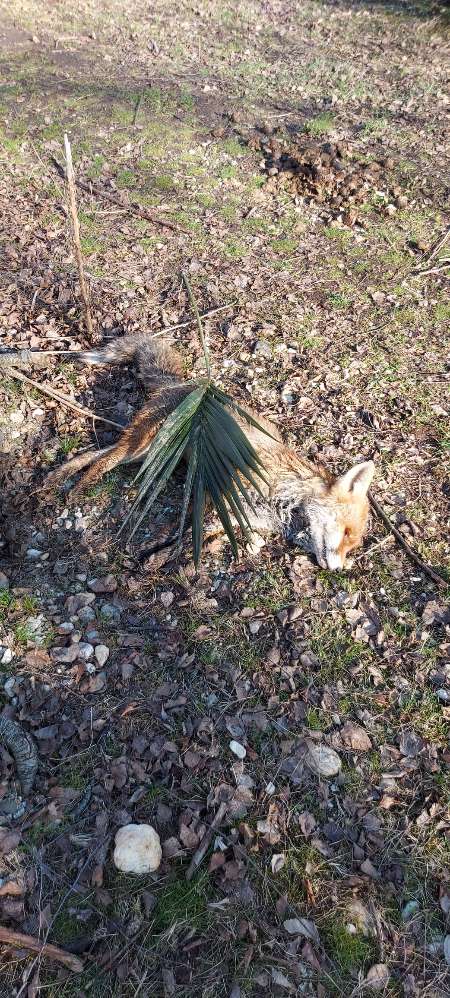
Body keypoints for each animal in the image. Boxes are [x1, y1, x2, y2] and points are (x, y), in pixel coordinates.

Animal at [34, 332, 375, 571]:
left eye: (352, 546)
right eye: (346, 534)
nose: (338, 569)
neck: (285, 500)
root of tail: (183, 384)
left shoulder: (236, 514)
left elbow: (200, 536)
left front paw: (160, 557)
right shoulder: (219, 490)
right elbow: (183, 532)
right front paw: (154, 556)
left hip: (149, 455)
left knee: (96, 453)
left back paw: (57, 478)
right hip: (147, 444)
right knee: (103, 460)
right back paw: (78, 487)